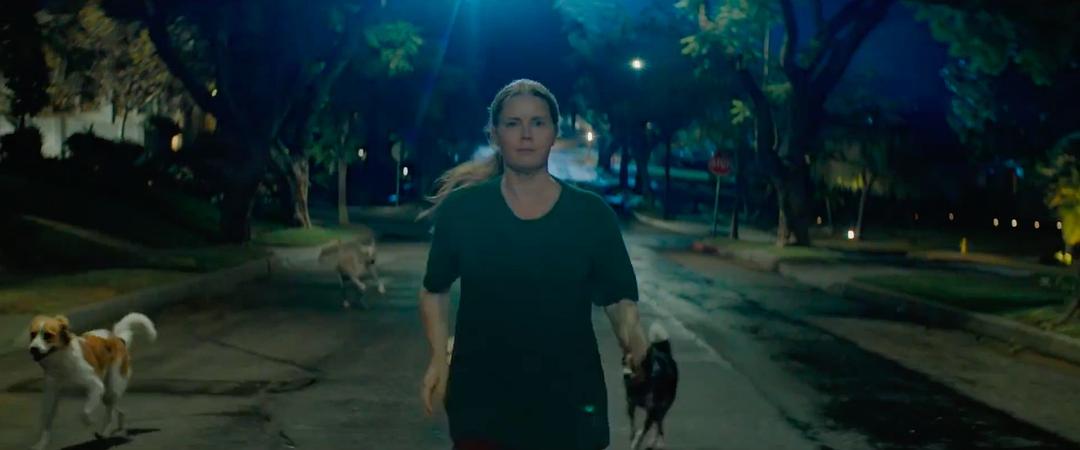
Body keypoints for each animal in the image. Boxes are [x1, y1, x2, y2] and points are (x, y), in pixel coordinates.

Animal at [27, 313, 157, 450]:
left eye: (47, 335)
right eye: (33, 334)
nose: (33, 349)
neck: (61, 361)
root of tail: (118, 339)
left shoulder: (96, 385)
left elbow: (84, 412)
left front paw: (90, 421)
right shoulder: (51, 396)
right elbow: (46, 421)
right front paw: (41, 444)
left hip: (111, 387)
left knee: (110, 411)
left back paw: (105, 432)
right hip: (106, 393)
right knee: (115, 408)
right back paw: (116, 425)